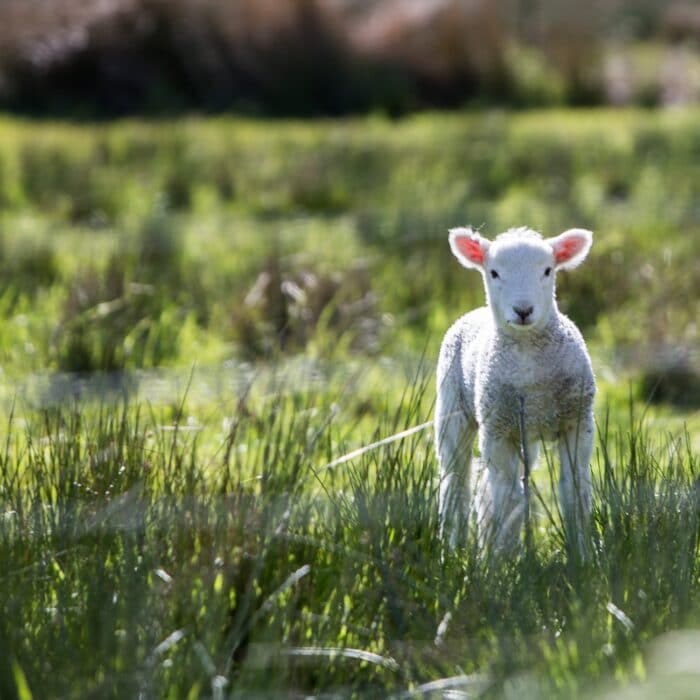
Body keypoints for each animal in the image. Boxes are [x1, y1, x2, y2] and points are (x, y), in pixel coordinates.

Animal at [438, 227, 596, 556]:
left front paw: (583, 555)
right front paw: (505, 560)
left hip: (526, 434)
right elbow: (508, 499)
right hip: (453, 410)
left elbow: (574, 491)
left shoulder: (577, 422)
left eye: (547, 270)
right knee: (456, 483)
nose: (523, 310)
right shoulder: (497, 431)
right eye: (494, 272)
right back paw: (453, 549)